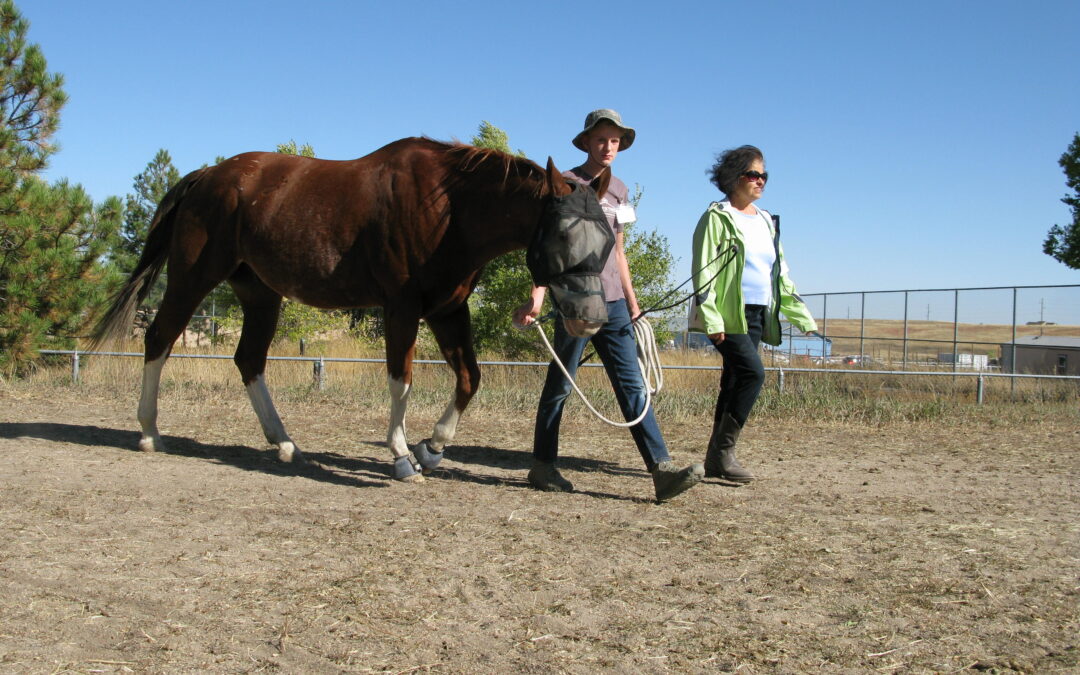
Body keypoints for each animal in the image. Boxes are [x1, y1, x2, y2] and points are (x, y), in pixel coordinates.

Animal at [93, 137, 609, 481]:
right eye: (563, 235)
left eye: (606, 236)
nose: (591, 318)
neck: (448, 208)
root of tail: (207, 176)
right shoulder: (402, 308)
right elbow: (402, 381)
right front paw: (402, 456)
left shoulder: (448, 310)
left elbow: (469, 379)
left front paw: (433, 448)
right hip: (192, 279)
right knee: (159, 339)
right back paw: (149, 432)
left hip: (260, 295)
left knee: (249, 361)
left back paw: (285, 444)